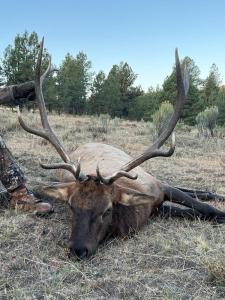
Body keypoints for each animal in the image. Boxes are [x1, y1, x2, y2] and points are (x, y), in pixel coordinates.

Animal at [18, 39, 225, 260]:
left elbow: (206, 209)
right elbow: (192, 212)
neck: (140, 212)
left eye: (107, 209)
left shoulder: (157, 187)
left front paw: (218, 209)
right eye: (71, 206)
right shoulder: (156, 207)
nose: (78, 249)